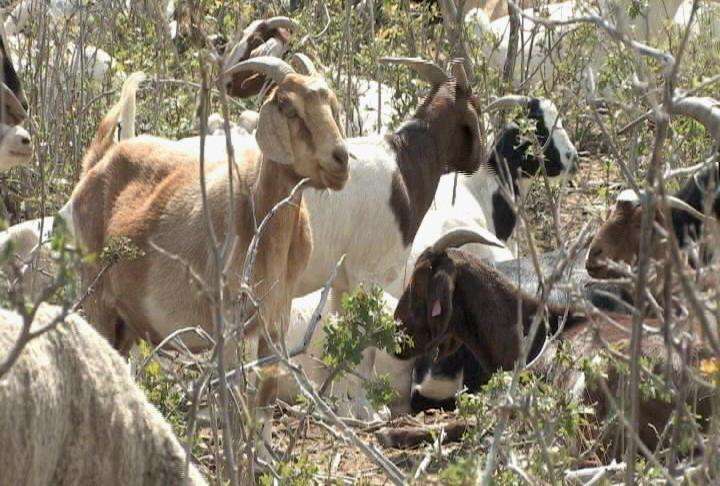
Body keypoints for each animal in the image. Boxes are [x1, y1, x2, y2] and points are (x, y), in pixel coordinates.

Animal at [59, 57, 349, 453]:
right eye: (288, 106)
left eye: (332, 104)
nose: (341, 159)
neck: (259, 214)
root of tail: (97, 161)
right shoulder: (226, 318)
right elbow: (233, 400)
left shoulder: (276, 317)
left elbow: (265, 397)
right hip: (97, 297)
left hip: (128, 320)